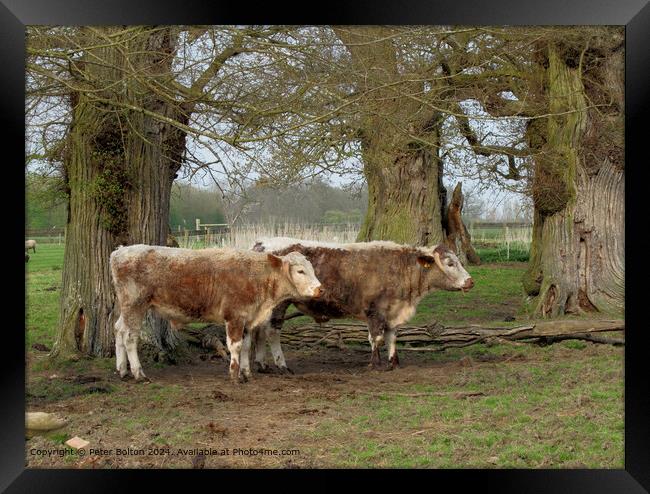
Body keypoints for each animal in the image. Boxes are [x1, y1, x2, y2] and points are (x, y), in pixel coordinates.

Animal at [109, 244, 322, 382]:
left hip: (126, 308)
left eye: (312, 269)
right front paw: (235, 375)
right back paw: (138, 374)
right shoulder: (235, 316)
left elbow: (246, 346)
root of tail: (121, 250)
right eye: (301, 271)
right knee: (130, 337)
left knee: (118, 330)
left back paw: (122, 370)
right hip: (135, 305)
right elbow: (235, 346)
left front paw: (246, 372)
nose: (320, 289)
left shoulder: (247, 318)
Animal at [251, 238, 474, 370]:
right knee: (272, 332)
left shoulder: (392, 311)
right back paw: (281, 365)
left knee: (259, 330)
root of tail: (262, 243)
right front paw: (374, 364)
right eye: (450, 263)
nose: (470, 281)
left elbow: (392, 337)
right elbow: (376, 338)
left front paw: (393, 362)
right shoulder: (375, 311)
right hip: (279, 305)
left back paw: (261, 364)